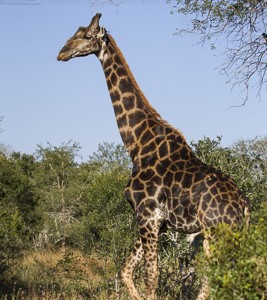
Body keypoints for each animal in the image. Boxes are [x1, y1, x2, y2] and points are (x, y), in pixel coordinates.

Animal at [58, 12, 251, 298]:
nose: (61, 53)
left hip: (217, 233)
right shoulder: (152, 221)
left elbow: (151, 277)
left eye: (86, 35)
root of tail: (245, 206)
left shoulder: (148, 215)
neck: (138, 144)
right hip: (218, 235)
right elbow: (126, 272)